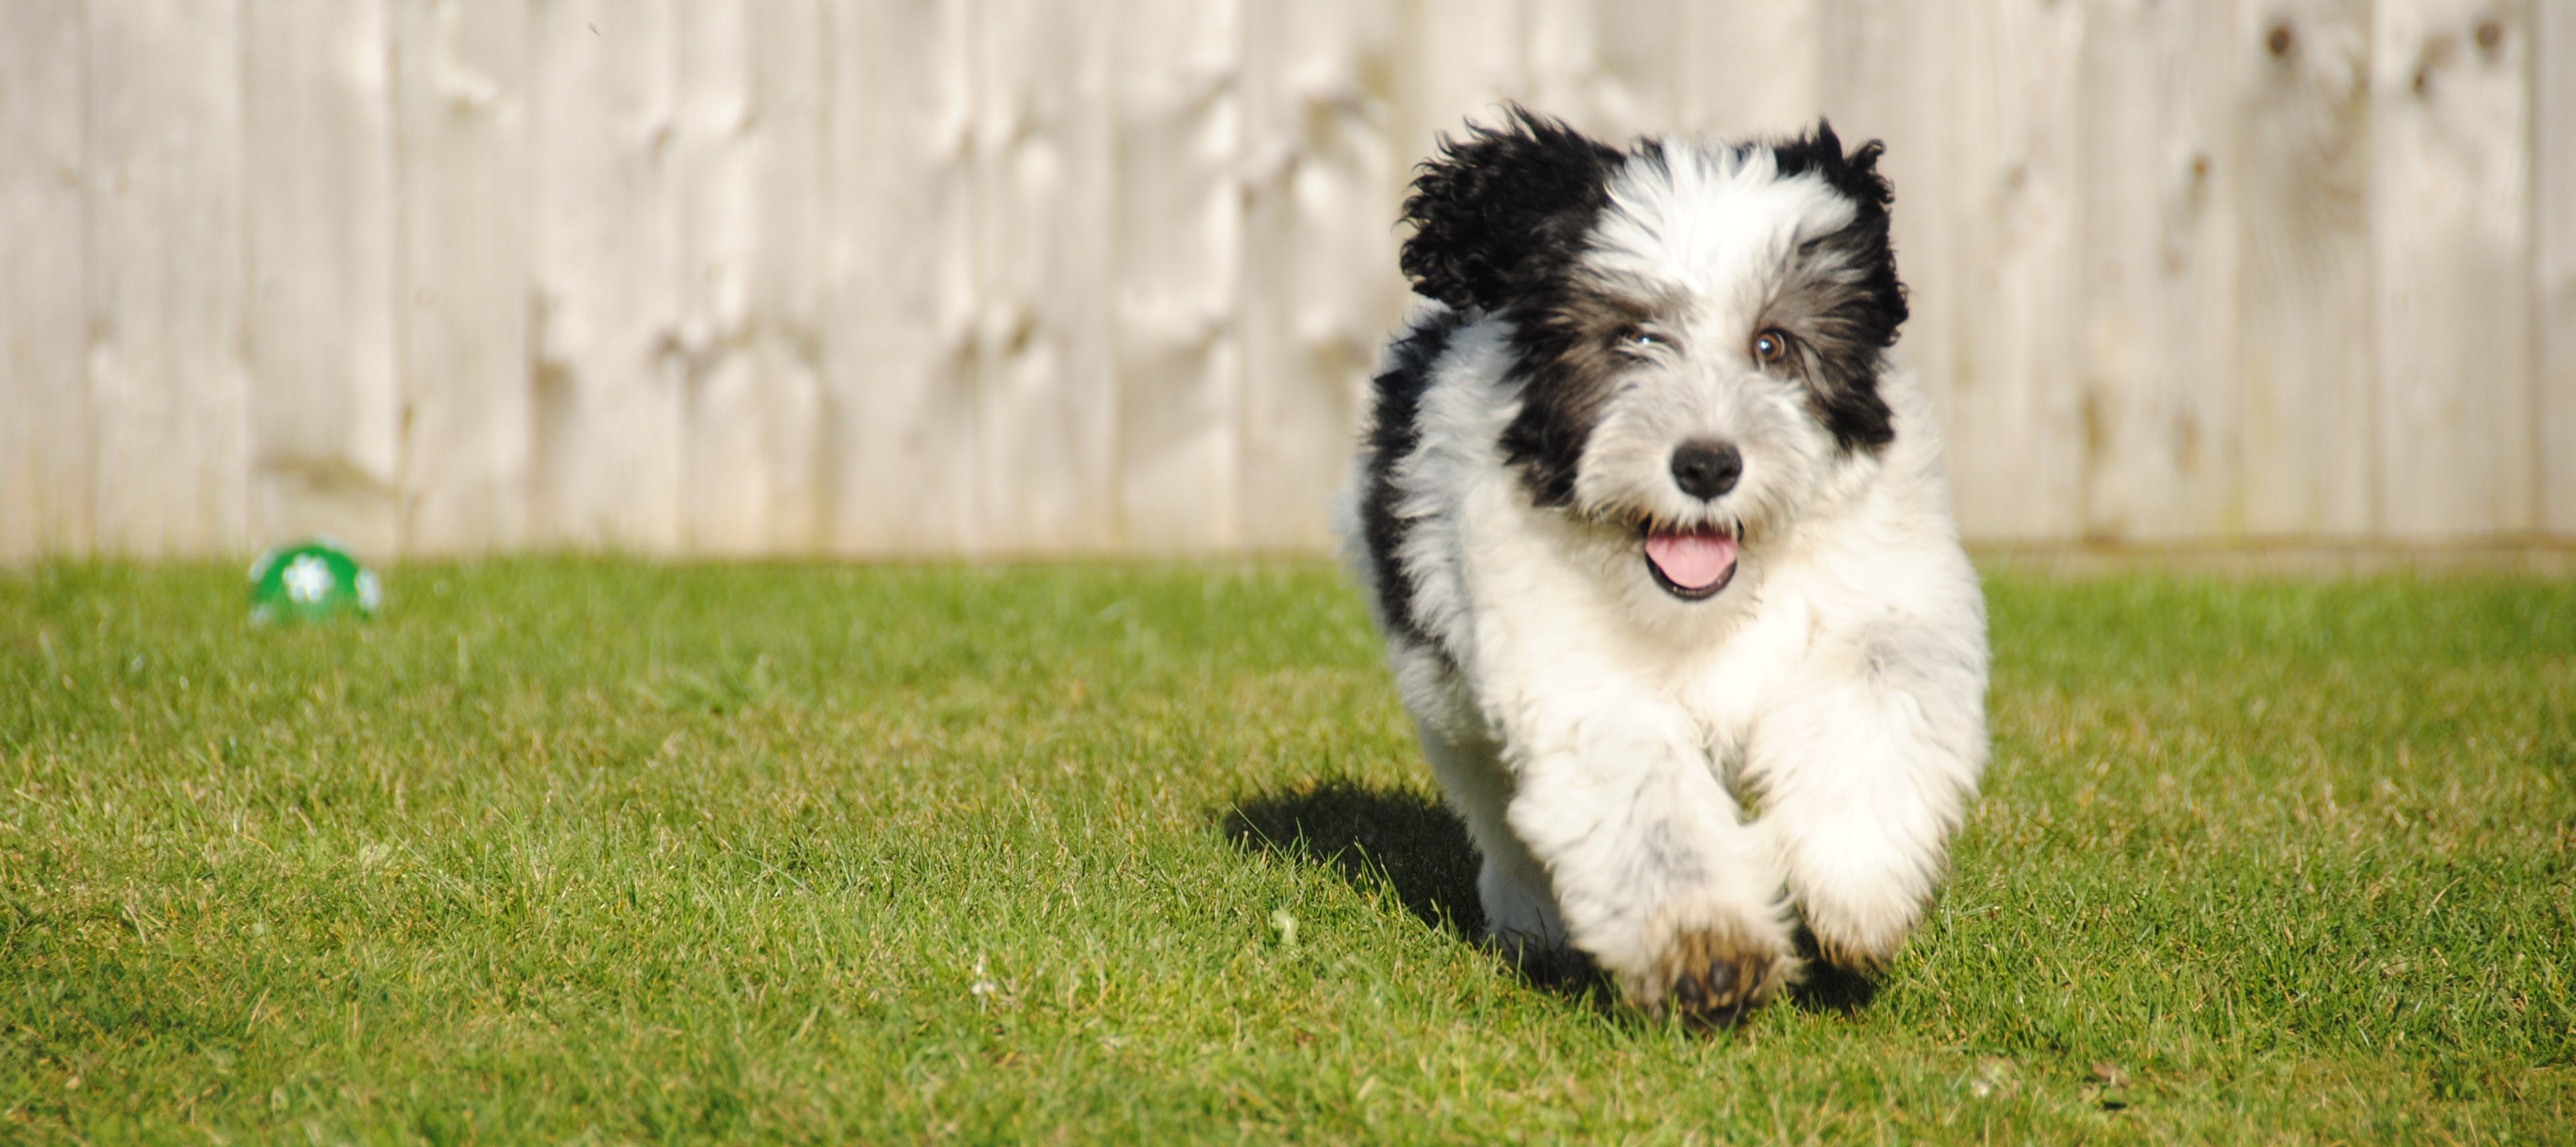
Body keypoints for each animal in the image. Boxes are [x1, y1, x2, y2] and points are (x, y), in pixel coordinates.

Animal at [1349, 106, 1989, 1021]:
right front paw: (1706, 944)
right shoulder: (1573, 668)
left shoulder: (1890, 595)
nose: (1707, 465)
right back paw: (1532, 918)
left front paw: (1856, 879)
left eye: (1773, 344)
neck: (1709, 603)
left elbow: (1873, 696)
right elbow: (1642, 795)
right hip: (1446, 699)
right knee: (1499, 812)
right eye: (1634, 339)